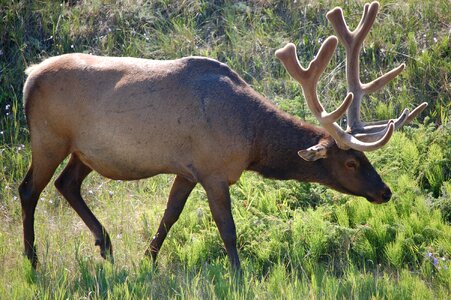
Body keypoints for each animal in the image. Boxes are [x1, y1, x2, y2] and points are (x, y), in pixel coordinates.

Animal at [18, 1, 428, 270]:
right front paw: (238, 273)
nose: (385, 191)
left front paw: (148, 259)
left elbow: (169, 216)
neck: (251, 140)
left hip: (83, 151)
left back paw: (105, 244)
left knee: (66, 184)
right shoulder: (213, 171)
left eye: (366, 157)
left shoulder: (187, 170)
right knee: (29, 190)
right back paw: (33, 259)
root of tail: (29, 75)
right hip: (48, 138)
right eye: (351, 161)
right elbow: (227, 229)